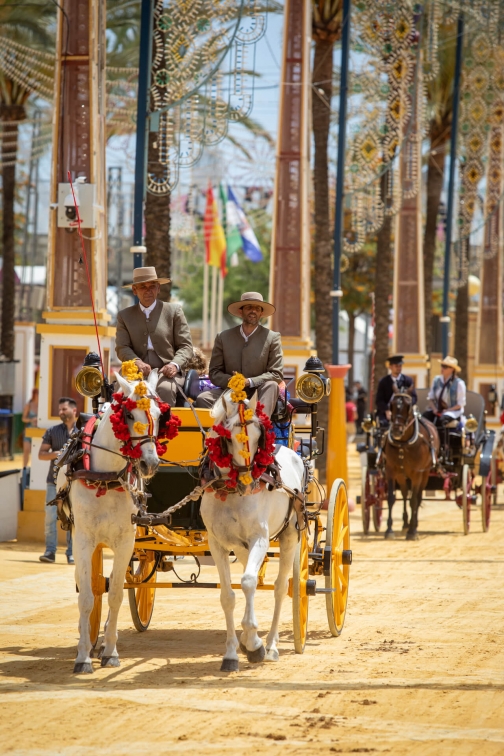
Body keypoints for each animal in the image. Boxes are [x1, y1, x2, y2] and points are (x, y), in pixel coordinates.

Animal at [58, 370, 162, 672]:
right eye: (128, 415)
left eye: (159, 414)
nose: (150, 464)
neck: (106, 476)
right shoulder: (83, 540)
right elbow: (87, 596)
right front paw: (83, 656)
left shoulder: (126, 541)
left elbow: (115, 593)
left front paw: (111, 652)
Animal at [200, 392, 304, 672]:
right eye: (229, 438)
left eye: (259, 438)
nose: (249, 482)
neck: (232, 492)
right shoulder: (217, 543)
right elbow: (228, 595)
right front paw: (232, 653)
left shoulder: (260, 539)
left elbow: (247, 581)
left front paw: (255, 643)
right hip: (241, 547)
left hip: (290, 536)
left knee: (280, 587)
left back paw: (271, 646)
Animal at [384, 386, 440, 540]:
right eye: (391, 404)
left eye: (408, 407)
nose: (396, 430)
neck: (403, 443)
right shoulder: (391, 471)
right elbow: (391, 498)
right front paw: (389, 530)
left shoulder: (416, 474)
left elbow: (414, 500)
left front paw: (412, 531)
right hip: (401, 475)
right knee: (404, 494)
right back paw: (405, 524)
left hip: (425, 474)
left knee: (418, 497)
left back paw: (413, 525)